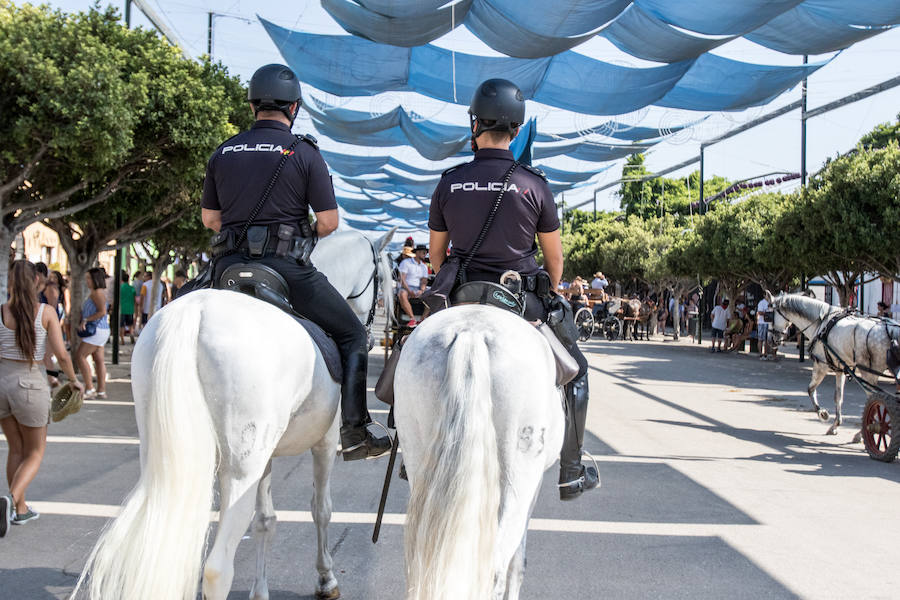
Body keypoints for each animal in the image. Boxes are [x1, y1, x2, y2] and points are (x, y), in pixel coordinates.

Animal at [69, 229, 394, 600]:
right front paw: (326, 578)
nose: (377, 332)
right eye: (383, 277)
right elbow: (321, 509)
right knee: (216, 569)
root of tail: (195, 315)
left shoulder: (266, 454)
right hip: (240, 470)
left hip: (167, 455)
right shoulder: (324, 443)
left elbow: (265, 520)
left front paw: (260, 591)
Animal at [396, 308, 564, 596]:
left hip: (417, 457)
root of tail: (471, 332)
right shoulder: (534, 487)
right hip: (518, 478)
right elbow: (518, 563)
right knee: (496, 568)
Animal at [768, 292, 896, 436]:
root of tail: (890, 330)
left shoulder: (821, 365)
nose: (771, 339)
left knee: (873, 399)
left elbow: (810, 389)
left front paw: (822, 413)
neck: (821, 323)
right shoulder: (840, 369)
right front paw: (835, 425)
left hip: (868, 373)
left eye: (769, 314)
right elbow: (838, 397)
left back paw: (864, 432)